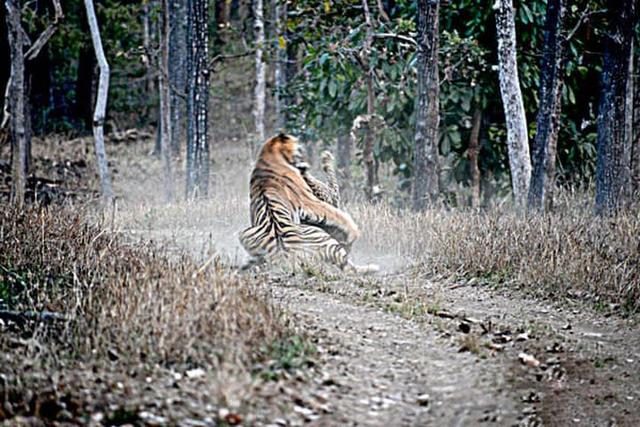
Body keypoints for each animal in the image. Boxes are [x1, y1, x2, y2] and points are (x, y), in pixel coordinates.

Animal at [241, 134, 380, 274]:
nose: (302, 151)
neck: (268, 154)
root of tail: (285, 257)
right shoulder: (310, 200)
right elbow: (337, 213)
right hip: (324, 237)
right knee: (348, 267)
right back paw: (372, 267)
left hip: (243, 233)